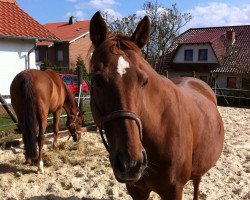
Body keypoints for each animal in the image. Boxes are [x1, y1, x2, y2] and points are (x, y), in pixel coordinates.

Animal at [89, 11, 224, 199]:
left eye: (144, 81)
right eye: (96, 80)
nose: (130, 163)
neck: (160, 130)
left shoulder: (174, 190)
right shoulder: (137, 190)